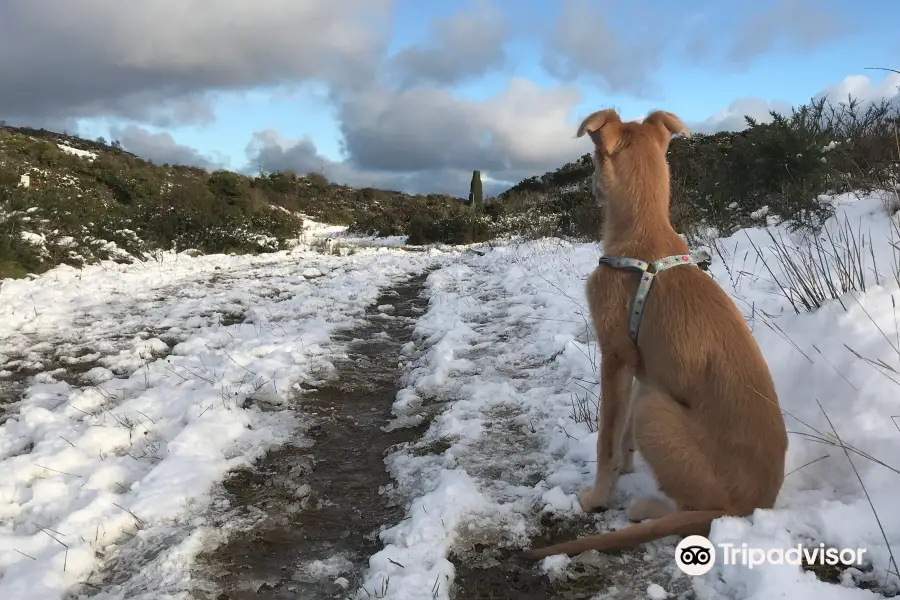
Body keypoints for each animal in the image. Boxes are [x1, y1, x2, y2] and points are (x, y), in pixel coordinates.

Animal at [520, 108, 788, 556]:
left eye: (593, 162)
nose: (590, 188)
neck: (645, 235)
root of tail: (757, 506)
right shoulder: (643, 368)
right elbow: (622, 430)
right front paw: (627, 466)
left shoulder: (614, 355)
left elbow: (606, 436)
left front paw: (599, 496)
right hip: (655, 396)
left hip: (657, 413)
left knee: (698, 514)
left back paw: (647, 509)